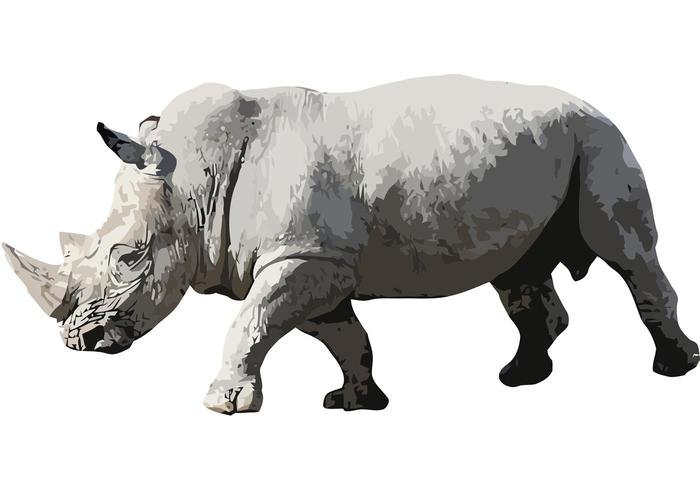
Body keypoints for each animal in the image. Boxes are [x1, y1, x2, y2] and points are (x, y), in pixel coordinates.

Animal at [4, 75, 698, 414]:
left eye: (128, 259)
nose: (79, 343)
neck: (192, 180)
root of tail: (592, 104)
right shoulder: (313, 259)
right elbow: (339, 333)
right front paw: (356, 404)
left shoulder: (304, 256)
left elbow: (251, 320)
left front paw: (225, 407)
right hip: (544, 149)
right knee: (518, 272)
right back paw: (519, 379)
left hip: (601, 139)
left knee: (627, 252)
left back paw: (673, 369)